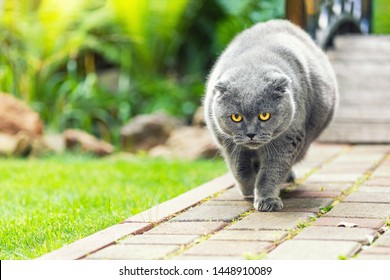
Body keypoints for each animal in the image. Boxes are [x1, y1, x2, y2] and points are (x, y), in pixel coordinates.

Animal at [204, 19, 338, 211]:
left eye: (265, 116)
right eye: (236, 117)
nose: (251, 134)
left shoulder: (288, 139)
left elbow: (271, 172)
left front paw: (267, 201)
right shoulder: (228, 143)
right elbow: (240, 170)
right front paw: (248, 189)